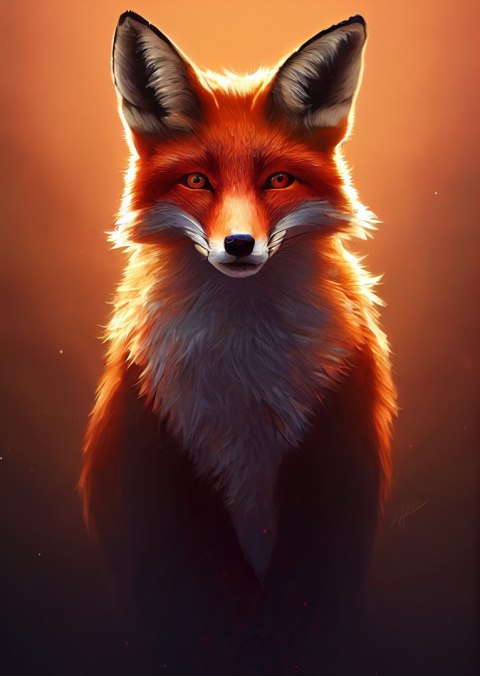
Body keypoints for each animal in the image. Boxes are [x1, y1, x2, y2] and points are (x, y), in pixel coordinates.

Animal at [79, 10, 396, 676]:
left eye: (278, 180)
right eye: (197, 180)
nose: (240, 245)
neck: (244, 380)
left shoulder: (332, 470)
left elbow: (301, 609)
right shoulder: (160, 475)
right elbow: (196, 610)